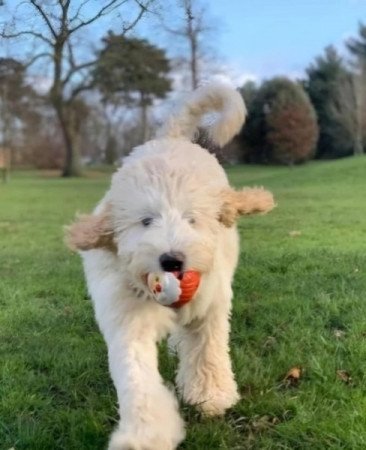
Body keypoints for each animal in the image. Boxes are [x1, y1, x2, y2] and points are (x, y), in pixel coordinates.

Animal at [66, 81, 274, 450]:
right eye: (146, 221)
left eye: (192, 220)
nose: (172, 259)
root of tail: (173, 139)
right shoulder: (126, 316)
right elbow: (136, 375)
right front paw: (145, 434)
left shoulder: (211, 302)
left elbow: (207, 347)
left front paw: (211, 394)